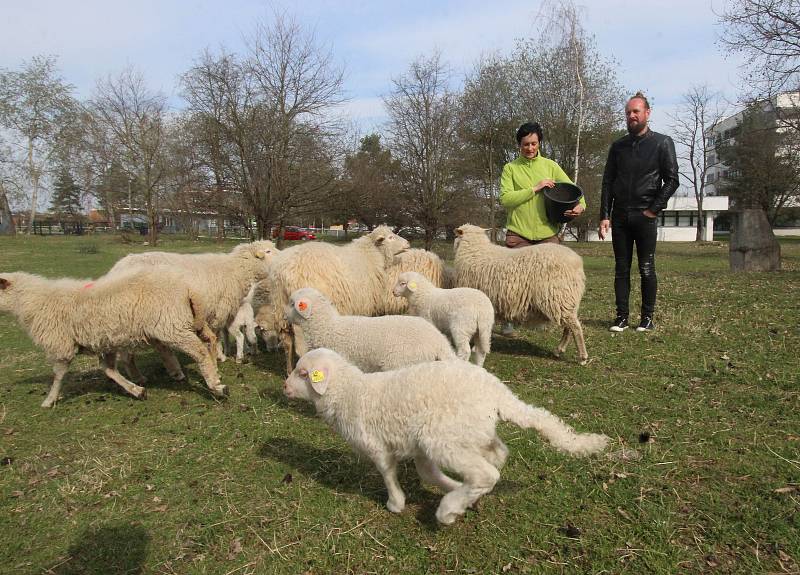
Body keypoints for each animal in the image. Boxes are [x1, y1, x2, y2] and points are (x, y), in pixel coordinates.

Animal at [0, 272, 225, 410]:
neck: (32, 301)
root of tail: (187, 289)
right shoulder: (105, 342)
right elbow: (108, 370)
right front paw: (137, 390)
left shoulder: (62, 345)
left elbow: (59, 375)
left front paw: (49, 399)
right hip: (191, 321)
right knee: (210, 340)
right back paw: (214, 372)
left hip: (172, 326)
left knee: (200, 351)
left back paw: (216, 386)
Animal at [266, 226, 410, 374]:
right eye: (390, 237)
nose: (408, 243)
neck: (370, 255)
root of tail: (284, 272)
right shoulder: (362, 304)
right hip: (302, 312)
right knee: (300, 348)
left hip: (280, 310)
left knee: (287, 343)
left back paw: (289, 371)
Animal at [284, 346, 608, 528]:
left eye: (303, 373)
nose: (285, 388)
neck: (349, 392)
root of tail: (498, 394)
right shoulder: (416, 449)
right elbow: (428, 474)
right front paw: (453, 488)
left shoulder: (378, 448)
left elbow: (388, 474)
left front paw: (396, 503)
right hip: (467, 431)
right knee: (498, 453)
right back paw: (467, 494)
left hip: (440, 436)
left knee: (486, 473)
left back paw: (449, 510)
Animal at [456, 225, 588, 364]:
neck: (475, 250)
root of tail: (577, 262)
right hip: (567, 300)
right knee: (569, 327)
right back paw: (559, 350)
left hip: (559, 297)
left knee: (575, 327)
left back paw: (582, 357)